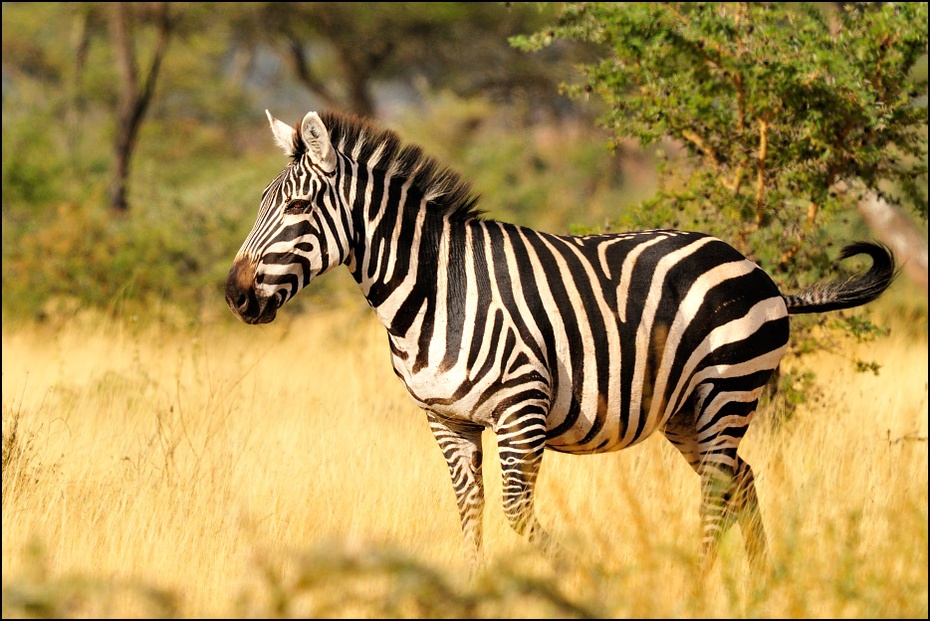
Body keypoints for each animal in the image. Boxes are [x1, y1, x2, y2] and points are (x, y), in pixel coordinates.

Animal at [223, 108, 892, 572]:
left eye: (299, 208)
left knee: (717, 491)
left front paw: (583, 574)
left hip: (727, 390)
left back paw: (704, 584)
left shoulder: (522, 410)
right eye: (260, 204)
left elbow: (518, 514)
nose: (234, 294)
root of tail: (762, 272)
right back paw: (754, 582)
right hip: (685, 411)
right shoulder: (446, 419)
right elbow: (471, 512)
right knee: (741, 482)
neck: (436, 289)